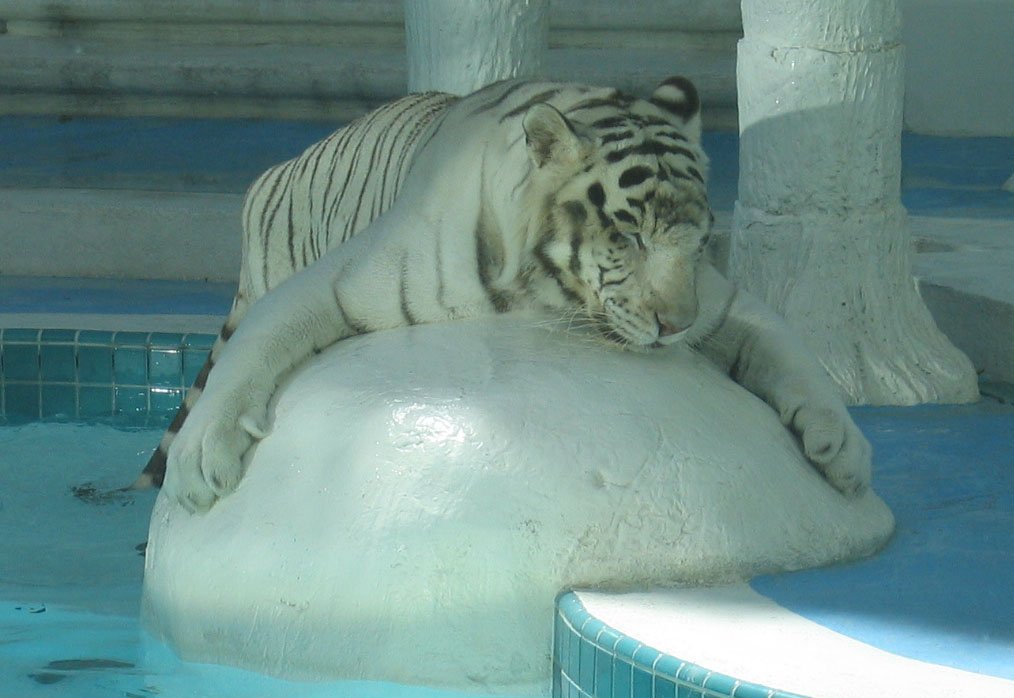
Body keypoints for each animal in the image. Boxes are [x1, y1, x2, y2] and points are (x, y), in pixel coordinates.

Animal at [134, 76, 873, 512]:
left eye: (698, 238)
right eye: (628, 233)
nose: (675, 326)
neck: (546, 289)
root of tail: (272, 177)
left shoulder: (718, 300)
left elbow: (790, 347)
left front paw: (846, 449)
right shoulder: (341, 282)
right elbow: (252, 352)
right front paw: (199, 463)